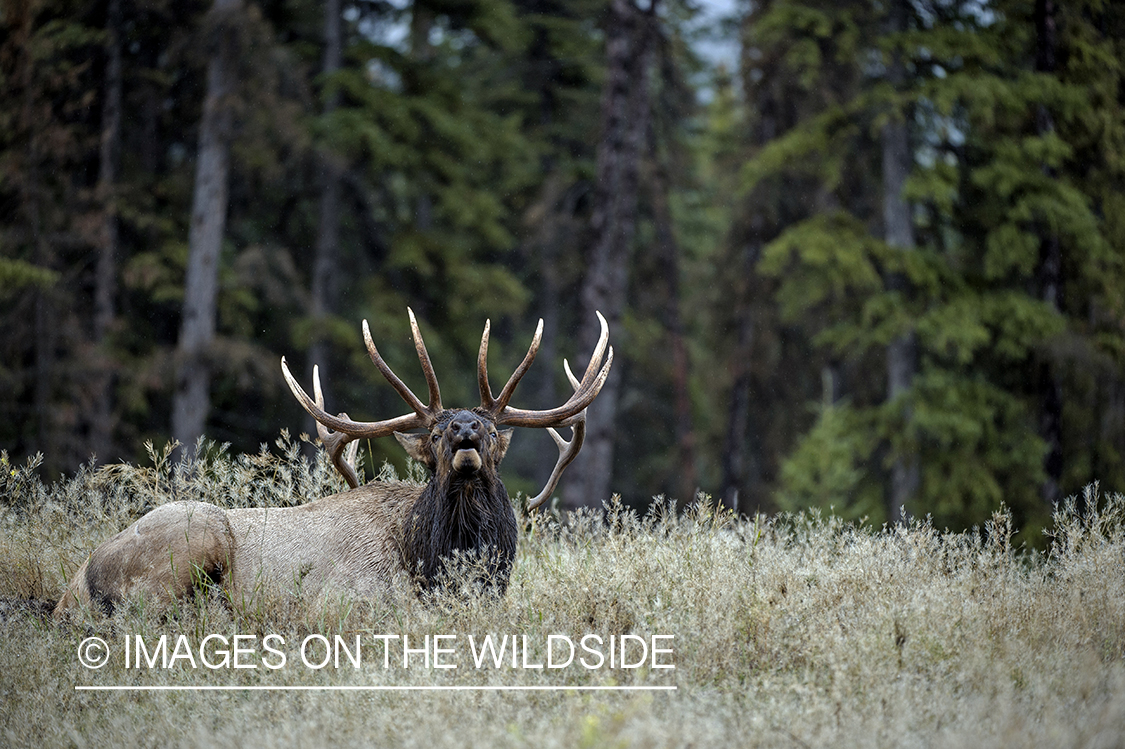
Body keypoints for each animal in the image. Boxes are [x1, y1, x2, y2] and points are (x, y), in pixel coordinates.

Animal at [55, 308, 612, 611]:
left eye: (494, 430)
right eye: (434, 434)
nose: (465, 429)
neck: (429, 562)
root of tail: (76, 585)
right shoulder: (344, 602)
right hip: (192, 539)